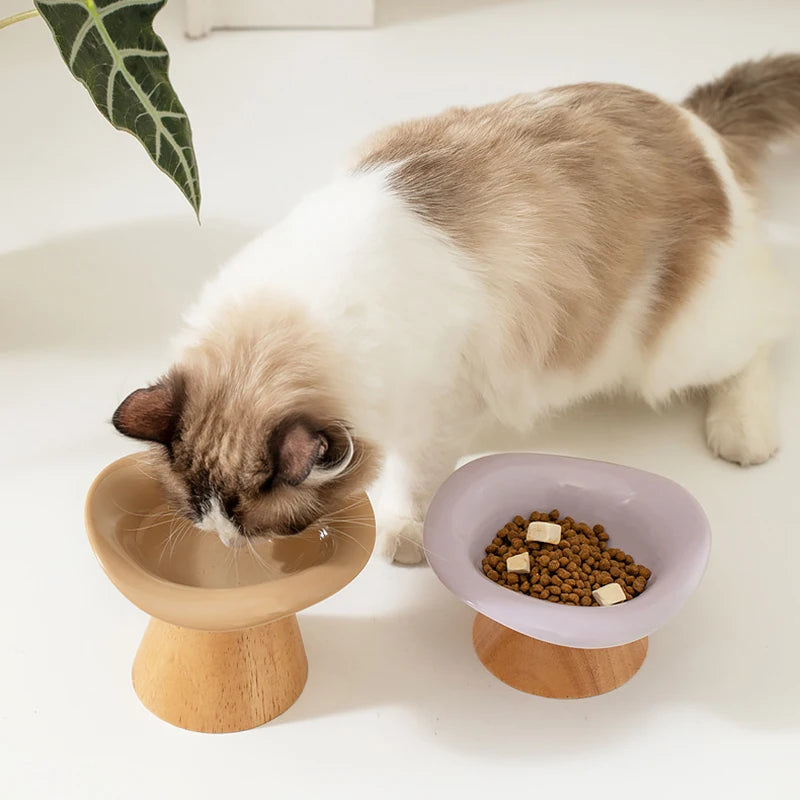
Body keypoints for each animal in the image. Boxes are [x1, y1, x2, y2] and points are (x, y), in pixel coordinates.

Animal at [112, 54, 800, 564]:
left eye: (264, 528)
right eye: (199, 517)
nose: (228, 544)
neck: (279, 335)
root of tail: (694, 122)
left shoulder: (442, 402)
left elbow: (415, 480)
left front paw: (404, 537)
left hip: (676, 349)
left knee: (762, 338)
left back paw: (743, 433)